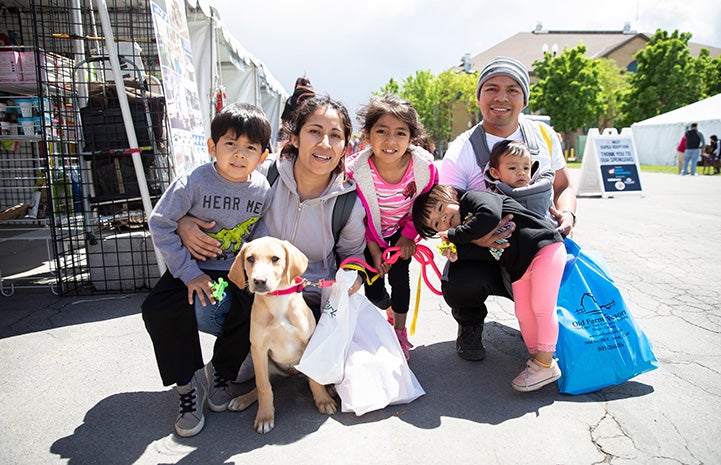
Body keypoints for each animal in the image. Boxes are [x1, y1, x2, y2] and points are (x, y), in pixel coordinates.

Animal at [226, 237, 336, 434]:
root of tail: (293, 374)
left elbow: (314, 380)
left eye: (275, 258)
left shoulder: (308, 342)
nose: (259, 281)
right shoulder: (259, 349)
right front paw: (264, 417)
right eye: (250, 258)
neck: (277, 301)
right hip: (265, 363)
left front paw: (323, 401)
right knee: (262, 384)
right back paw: (242, 399)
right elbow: (263, 387)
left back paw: (329, 387)